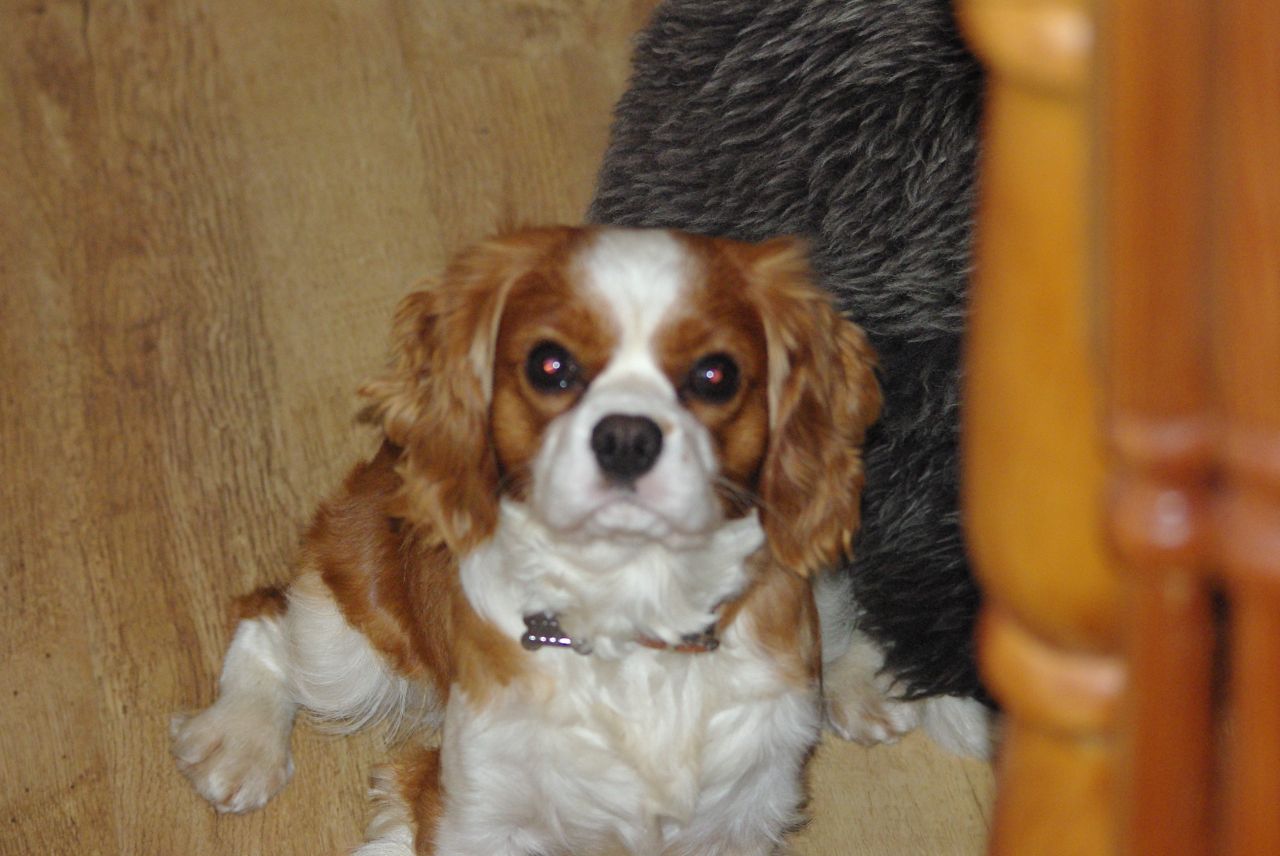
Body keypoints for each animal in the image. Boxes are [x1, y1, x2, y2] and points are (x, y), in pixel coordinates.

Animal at [172, 226, 890, 854]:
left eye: (717, 374)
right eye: (551, 366)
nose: (626, 436)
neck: (629, 617)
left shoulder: (742, 814)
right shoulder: (470, 810)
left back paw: (863, 687)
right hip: (345, 647)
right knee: (268, 618)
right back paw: (239, 741)